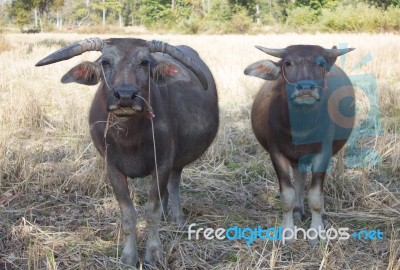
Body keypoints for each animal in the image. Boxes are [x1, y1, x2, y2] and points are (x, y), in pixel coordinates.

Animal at [35, 37, 219, 266]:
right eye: (106, 62)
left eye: (145, 62)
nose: (125, 96)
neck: (128, 138)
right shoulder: (112, 167)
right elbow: (128, 213)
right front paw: (129, 256)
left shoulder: (162, 163)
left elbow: (152, 210)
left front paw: (153, 253)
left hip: (178, 160)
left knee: (174, 183)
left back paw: (177, 218)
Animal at [245, 45, 354, 244]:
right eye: (288, 63)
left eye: (321, 63)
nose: (305, 88)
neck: (300, 128)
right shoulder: (276, 153)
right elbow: (287, 194)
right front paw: (288, 231)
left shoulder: (323, 153)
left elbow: (316, 196)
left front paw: (316, 231)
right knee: (299, 177)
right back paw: (297, 210)